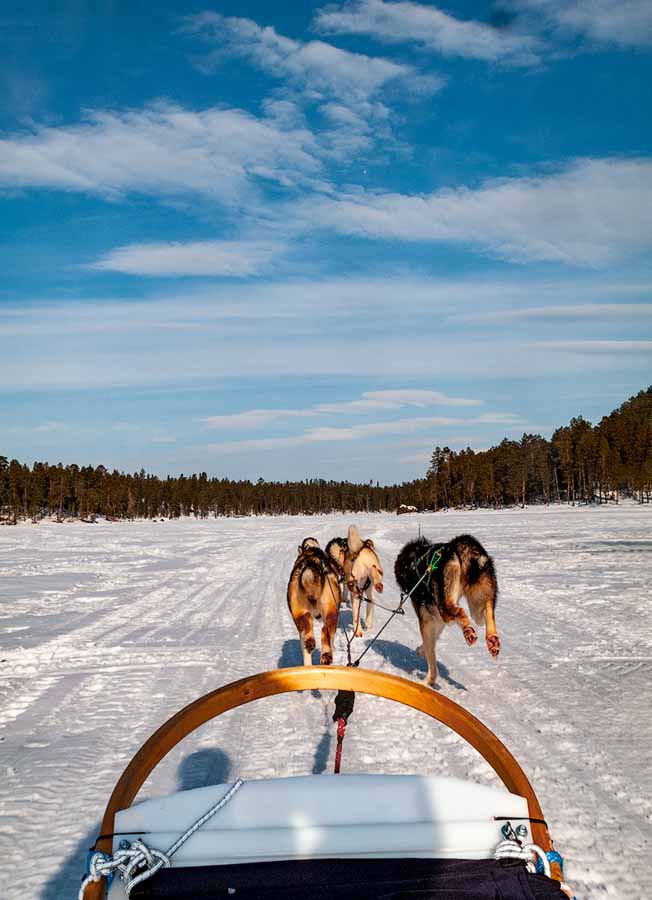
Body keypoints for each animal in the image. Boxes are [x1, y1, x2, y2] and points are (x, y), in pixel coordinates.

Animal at [288, 536, 344, 664]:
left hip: (300, 612)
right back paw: (326, 654)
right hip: (331, 612)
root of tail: (311, 564)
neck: (311, 549)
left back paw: (311, 643)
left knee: (308, 621)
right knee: (324, 630)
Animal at [392, 536, 500, 688]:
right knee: (487, 612)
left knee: (460, 612)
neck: (413, 562)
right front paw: (421, 650)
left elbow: (431, 658)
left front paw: (428, 681)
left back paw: (469, 633)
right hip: (478, 604)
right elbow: (430, 643)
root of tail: (463, 547)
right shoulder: (437, 620)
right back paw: (492, 640)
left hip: (445, 605)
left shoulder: (427, 620)